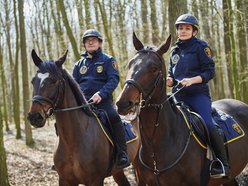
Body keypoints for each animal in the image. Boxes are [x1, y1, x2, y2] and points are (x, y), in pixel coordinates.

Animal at [27, 49, 140, 186]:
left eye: (53, 80)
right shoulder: (64, 180)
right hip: (117, 171)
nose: (34, 116)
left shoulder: (95, 180)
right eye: (33, 81)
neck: (73, 142)